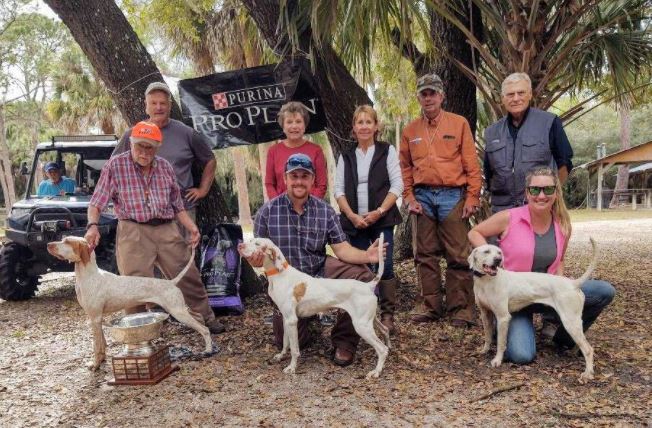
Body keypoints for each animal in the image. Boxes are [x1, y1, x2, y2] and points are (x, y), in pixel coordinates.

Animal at [46, 236, 214, 370]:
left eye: (67, 241)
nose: (48, 244)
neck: (88, 275)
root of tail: (171, 282)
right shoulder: (97, 319)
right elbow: (103, 343)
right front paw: (102, 360)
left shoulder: (95, 318)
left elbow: (96, 346)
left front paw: (95, 365)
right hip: (180, 310)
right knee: (200, 319)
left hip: (178, 311)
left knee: (205, 329)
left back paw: (208, 350)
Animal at [242, 236, 390, 380]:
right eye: (251, 240)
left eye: (257, 244)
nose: (240, 246)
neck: (280, 274)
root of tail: (368, 286)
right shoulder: (285, 319)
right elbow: (285, 342)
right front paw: (281, 355)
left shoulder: (292, 321)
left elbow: (294, 349)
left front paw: (292, 368)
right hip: (370, 320)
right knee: (385, 330)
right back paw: (389, 346)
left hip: (361, 326)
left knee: (382, 349)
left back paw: (376, 371)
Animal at [468, 239, 596, 382]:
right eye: (486, 251)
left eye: (499, 252)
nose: (498, 260)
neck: (485, 281)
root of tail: (572, 283)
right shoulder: (485, 314)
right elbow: (488, 336)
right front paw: (484, 350)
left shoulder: (503, 317)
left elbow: (501, 342)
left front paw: (497, 360)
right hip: (573, 323)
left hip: (570, 322)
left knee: (588, 349)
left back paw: (587, 373)